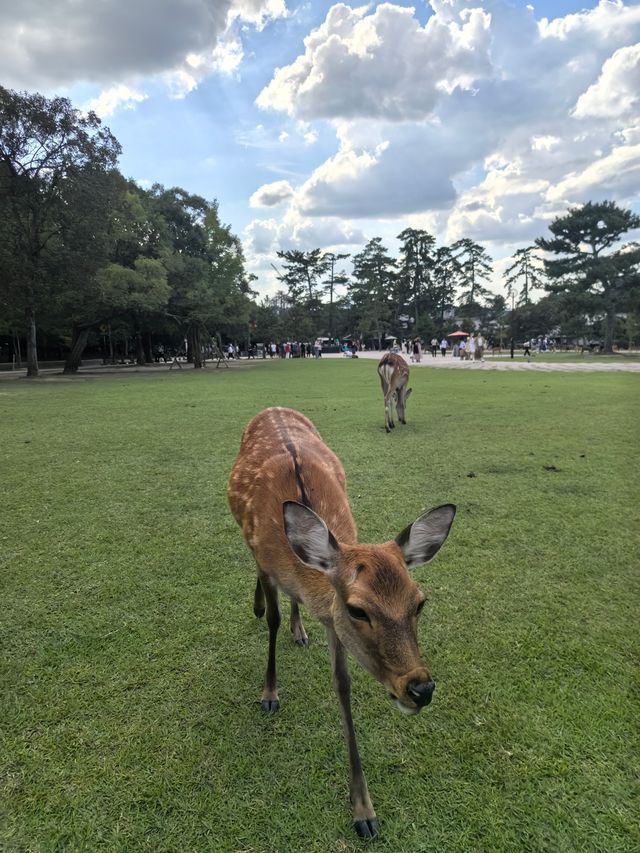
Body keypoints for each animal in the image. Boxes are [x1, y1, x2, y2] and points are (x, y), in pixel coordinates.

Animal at [225, 408, 456, 840]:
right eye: (358, 610)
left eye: (419, 602)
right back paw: (261, 609)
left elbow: (342, 685)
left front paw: (364, 810)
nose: (420, 689)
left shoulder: (331, 619)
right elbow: (273, 621)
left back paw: (300, 630)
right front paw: (269, 693)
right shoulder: (266, 562)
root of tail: (273, 408)